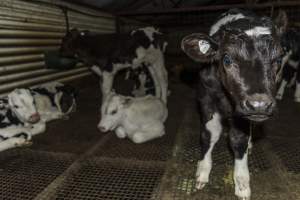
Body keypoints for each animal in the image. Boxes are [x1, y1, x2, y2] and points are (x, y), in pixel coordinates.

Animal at [180, 8, 286, 199]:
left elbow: (239, 139)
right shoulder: (206, 98)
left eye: (279, 60)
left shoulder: (243, 114)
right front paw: (202, 171)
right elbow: (209, 133)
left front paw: (242, 182)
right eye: (227, 59)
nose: (259, 104)